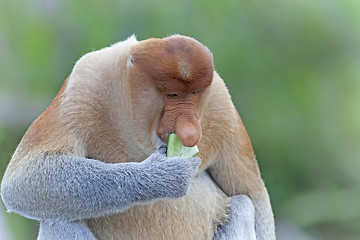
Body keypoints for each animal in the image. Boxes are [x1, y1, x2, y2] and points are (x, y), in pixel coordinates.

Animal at [0, 34, 276, 239]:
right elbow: (23, 179)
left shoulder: (221, 104)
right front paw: (165, 174)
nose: (189, 132)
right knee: (58, 221)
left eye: (195, 93)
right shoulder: (85, 82)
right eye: (172, 94)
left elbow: (254, 194)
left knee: (242, 206)